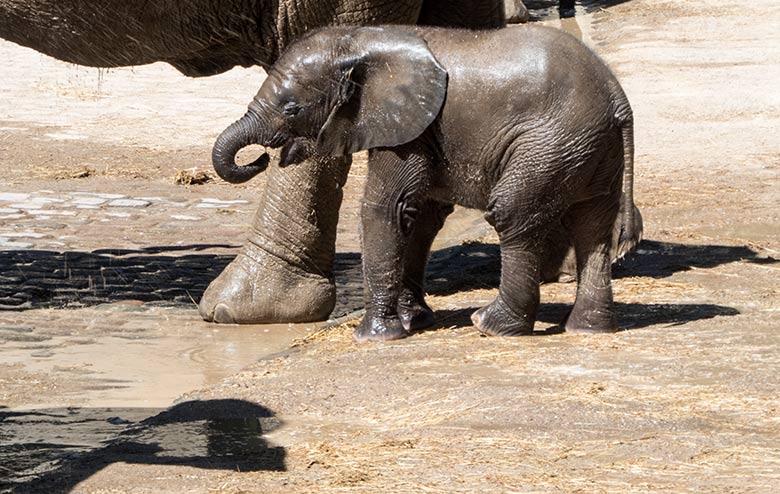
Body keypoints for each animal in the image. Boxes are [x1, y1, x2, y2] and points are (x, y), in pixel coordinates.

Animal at [212, 25, 632, 342]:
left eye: (291, 108)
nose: (262, 158)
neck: (362, 41)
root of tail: (618, 99)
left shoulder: (409, 129)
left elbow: (386, 208)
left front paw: (375, 337)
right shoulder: (421, 130)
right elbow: (418, 215)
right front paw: (414, 321)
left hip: (549, 144)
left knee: (514, 216)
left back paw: (491, 325)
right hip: (589, 149)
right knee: (592, 225)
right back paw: (589, 329)